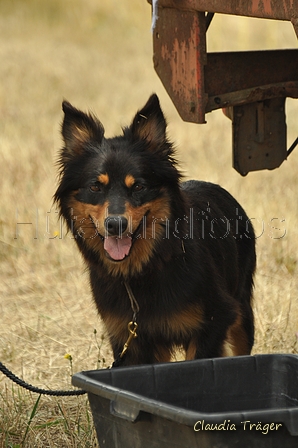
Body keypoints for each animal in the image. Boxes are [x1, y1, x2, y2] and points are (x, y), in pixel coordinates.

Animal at [55, 93, 256, 366]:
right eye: (95, 187)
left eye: (138, 186)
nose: (115, 225)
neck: (142, 269)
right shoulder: (129, 338)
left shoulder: (213, 323)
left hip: (242, 309)